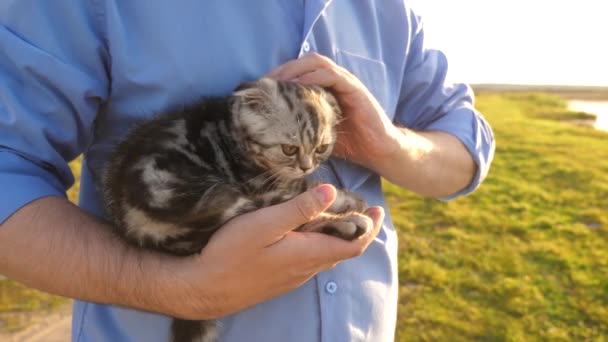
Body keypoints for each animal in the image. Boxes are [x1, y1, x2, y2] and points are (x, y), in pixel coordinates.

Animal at [101, 78, 370, 342]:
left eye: (321, 148)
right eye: (289, 149)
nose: (306, 166)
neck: (233, 133)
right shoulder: (262, 190)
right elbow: (303, 191)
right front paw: (344, 199)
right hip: (218, 199)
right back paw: (351, 223)